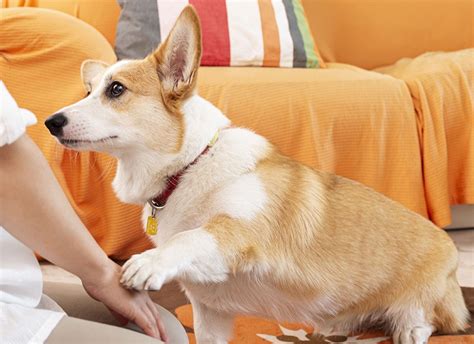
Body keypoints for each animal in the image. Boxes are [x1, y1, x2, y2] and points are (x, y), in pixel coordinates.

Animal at [44, 6, 466, 344]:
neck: (190, 168)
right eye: (89, 91)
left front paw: (148, 263)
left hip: (425, 301)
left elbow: (191, 237)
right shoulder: (210, 314)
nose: (50, 122)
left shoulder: (242, 230)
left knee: (424, 322)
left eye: (116, 89)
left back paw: (411, 328)